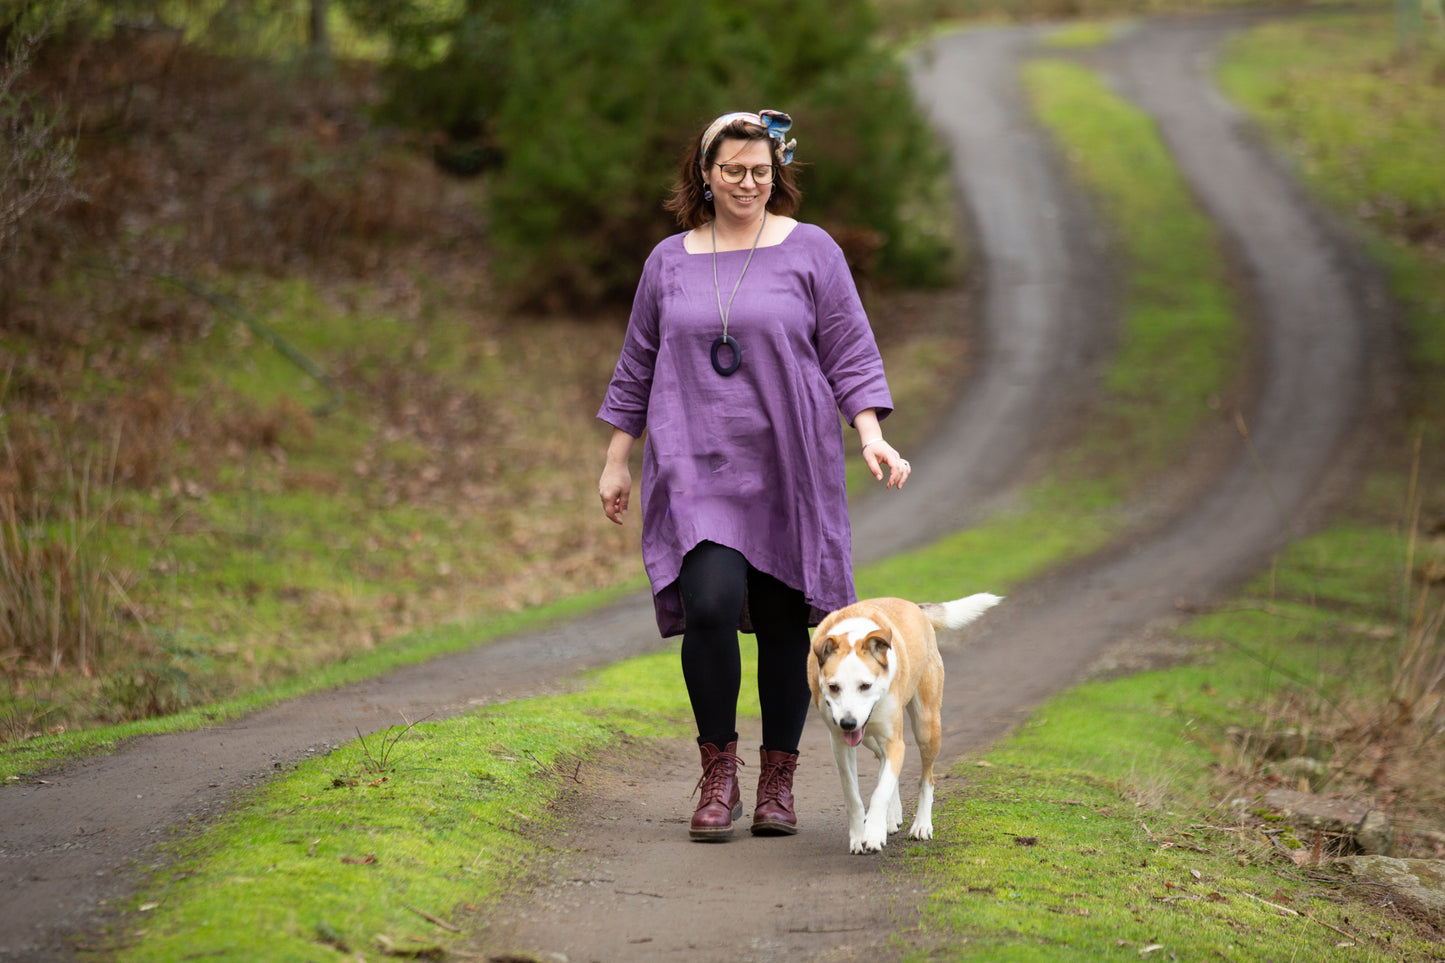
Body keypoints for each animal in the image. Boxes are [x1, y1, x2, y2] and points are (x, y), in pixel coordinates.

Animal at [809, 592, 999, 856]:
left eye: (865, 685)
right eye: (833, 687)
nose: (848, 722)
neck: (854, 632)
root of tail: (915, 607)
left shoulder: (894, 742)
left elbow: (881, 791)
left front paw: (873, 834)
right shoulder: (840, 743)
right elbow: (853, 794)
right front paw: (859, 836)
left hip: (927, 726)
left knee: (926, 779)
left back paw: (921, 825)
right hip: (869, 737)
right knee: (882, 762)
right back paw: (892, 815)